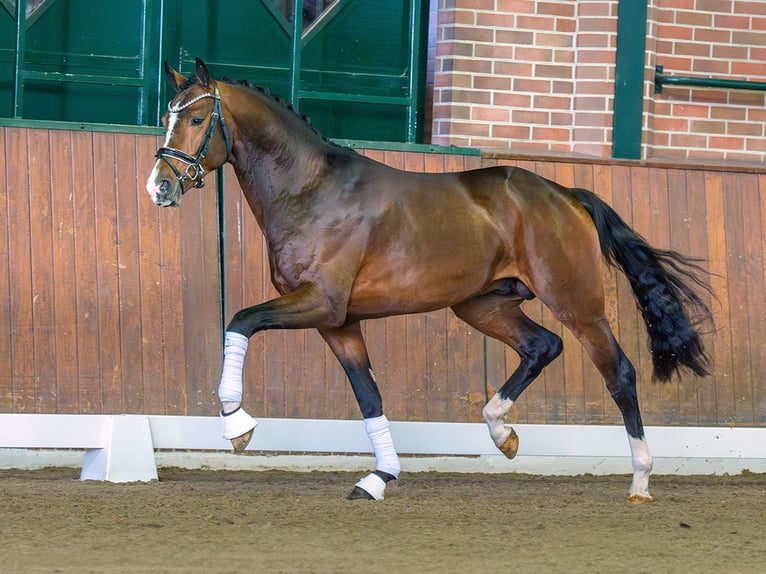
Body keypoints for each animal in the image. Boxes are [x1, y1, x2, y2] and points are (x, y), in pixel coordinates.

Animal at [148, 58, 712, 506]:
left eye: (196, 118)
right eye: (166, 117)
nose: (160, 188)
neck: (311, 191)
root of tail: (567, 194)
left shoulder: (319, 304)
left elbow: (241, 320)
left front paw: (237, 426)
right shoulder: (339, 322)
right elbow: (369, 398)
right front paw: (379, 478)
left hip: (578, 303)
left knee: (619, 372)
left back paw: (640, 481)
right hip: (482, 305)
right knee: (542, 346)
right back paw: (502, 432)